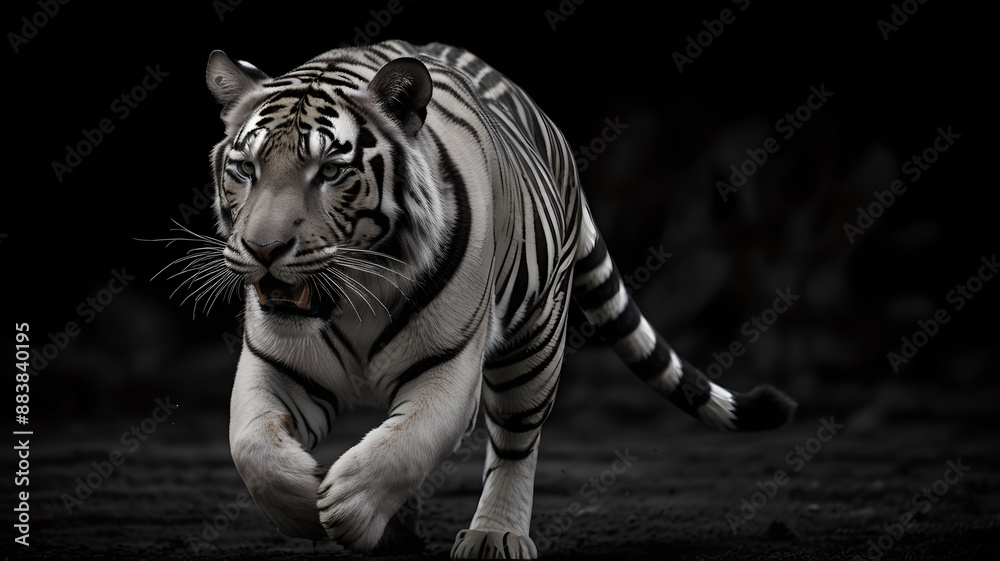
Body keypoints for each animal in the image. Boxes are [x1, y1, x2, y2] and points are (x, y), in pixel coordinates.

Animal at [184, 39, 796, 558]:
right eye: (245, 169)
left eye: (331, 171)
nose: (264, 249)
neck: (351, 300)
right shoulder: (274, 365)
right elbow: (251, 445)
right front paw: (306, 503)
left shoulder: (449, 368)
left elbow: (411, 442)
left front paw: (347, 506)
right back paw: (398, 532)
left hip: (536, 342)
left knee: (516, 443)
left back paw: (495, 535)